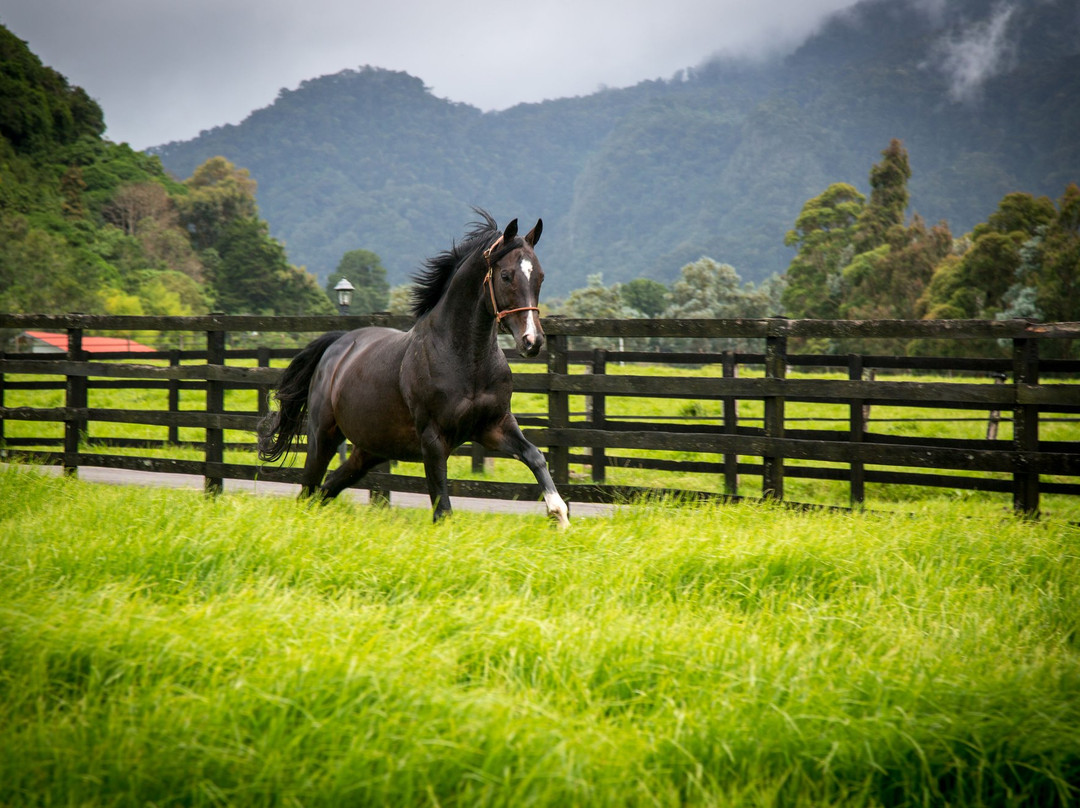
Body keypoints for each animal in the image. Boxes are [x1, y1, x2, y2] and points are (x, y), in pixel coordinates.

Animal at [257, 208, 570, 527]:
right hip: (323, 436)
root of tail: (337, 344)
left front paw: (559, 515)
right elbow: (442, 507)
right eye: (506, 276)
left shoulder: (493, 426)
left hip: (369, 450)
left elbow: (534, 455)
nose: (532, 341)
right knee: (309, 488)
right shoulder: (433, 438)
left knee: (327, 488)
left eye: (540, 276)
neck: (466, 361)